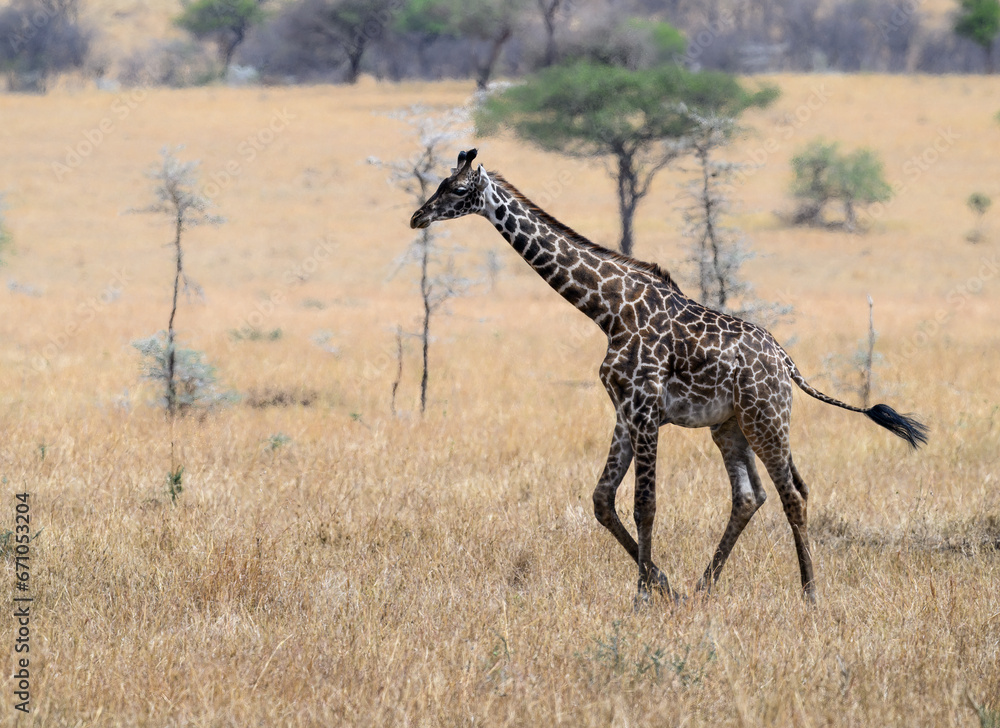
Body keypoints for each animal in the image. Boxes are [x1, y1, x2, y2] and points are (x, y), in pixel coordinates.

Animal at [410, 149, 928, 603]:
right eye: (440, 182)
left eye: (458, 188)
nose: (418, 217)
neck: (608, 309)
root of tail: (787, 363)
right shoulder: (625, 411)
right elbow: (602, 500)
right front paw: (664, 586)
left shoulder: (644, 410)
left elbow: (646, 504)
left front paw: (642, 596)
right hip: (730, 426)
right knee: (749, 496)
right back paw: (702, 587)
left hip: (767, 420)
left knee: (793, 494)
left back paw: (810, 594)